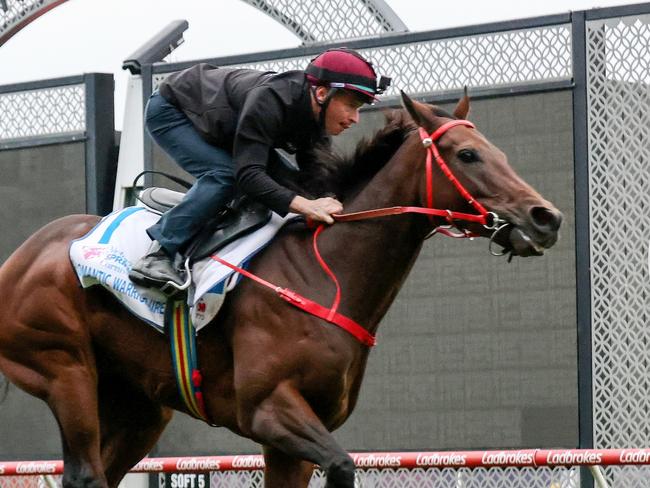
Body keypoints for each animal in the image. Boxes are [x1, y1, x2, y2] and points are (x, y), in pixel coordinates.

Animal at [0, 92, 560, 488]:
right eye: (468, 155)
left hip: (138, 403)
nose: (546, 217)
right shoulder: (268, 409)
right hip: (63, 368)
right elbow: (343, 467)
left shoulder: (295, 436)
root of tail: (21, 256)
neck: (322, 274)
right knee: (84, 473)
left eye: (499, 153)